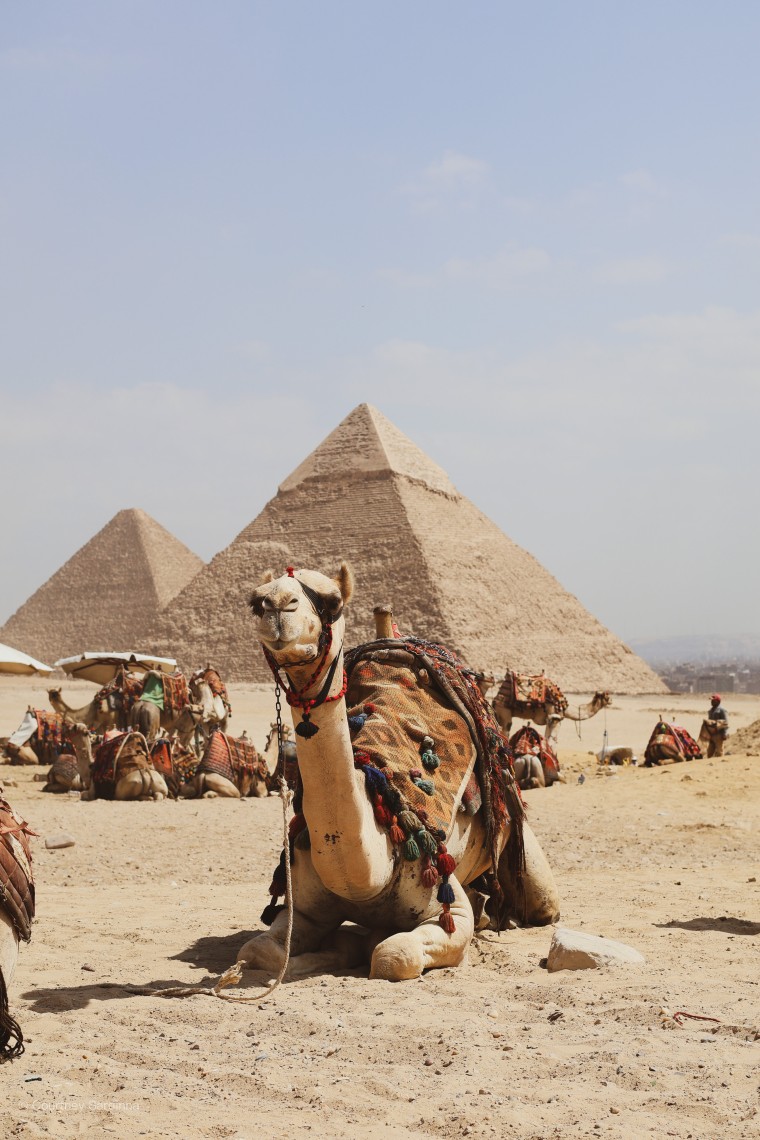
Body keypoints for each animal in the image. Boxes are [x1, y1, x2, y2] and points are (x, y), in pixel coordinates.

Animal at [236, 565, 559, 984]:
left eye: (332, 602)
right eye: (255, 601)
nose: (276, 605)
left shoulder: (445, 905)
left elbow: (393, 954)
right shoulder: (301, 907)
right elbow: (260, 951)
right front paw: (335, 950)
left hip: (525, 860)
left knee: (541, 903)